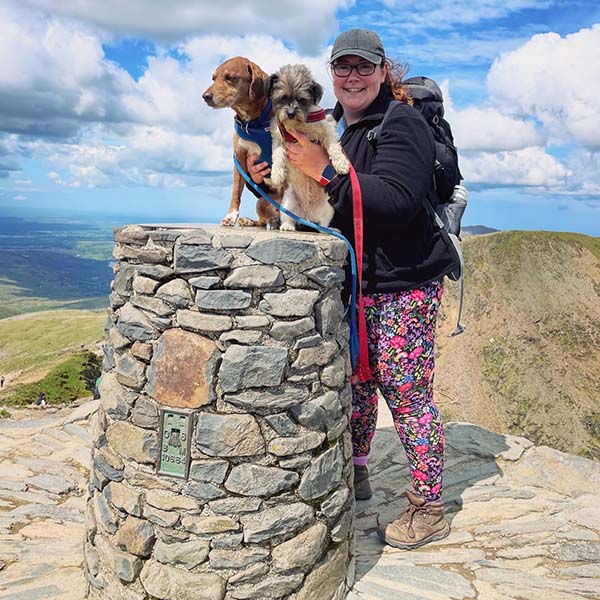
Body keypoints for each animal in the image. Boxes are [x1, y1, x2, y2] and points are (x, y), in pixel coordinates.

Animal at [203, 56, 280, 227]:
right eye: (213, 78)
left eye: (230, 78)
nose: (205, 96)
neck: (251, 122)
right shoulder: (239, 156)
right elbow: (236, 192)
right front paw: (231, 217)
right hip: (261, 202)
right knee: (263, 221)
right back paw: (255, 220)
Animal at [266, 63, 350, 230]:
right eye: (282, 98)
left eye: (301, 99)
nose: (291, 112)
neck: (298, 125)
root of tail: (306, 214)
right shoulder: (278, 136)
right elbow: (277, 154)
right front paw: (277, 174)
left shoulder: (326, 128)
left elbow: (334, 147)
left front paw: (341, 164)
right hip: (287, 204)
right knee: (289, 219)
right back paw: (287, 226)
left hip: (328, 208)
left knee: (323, 224)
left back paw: (328, 229)